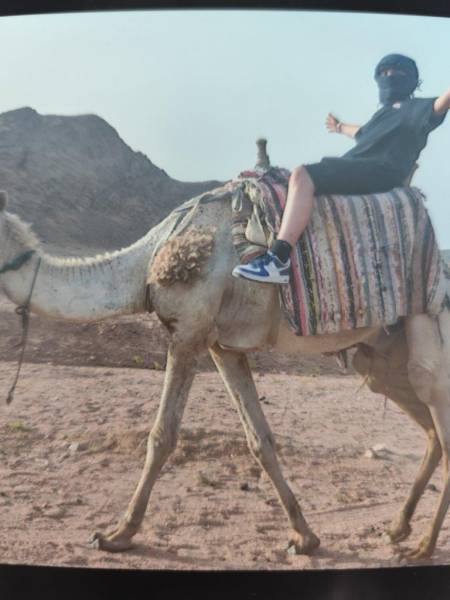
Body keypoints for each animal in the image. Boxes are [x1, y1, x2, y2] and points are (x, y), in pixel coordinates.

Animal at [0, 163, 449, 562]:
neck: (145, 263)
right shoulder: (223, 348)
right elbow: (259, 439)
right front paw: (304, 538)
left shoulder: (188, 331)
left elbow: (162, 436)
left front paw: (118, 534)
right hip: (382, 358)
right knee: (428, 427)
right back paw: (398, 528)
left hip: (431, 329)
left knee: (435, 404)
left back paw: (422, 547)